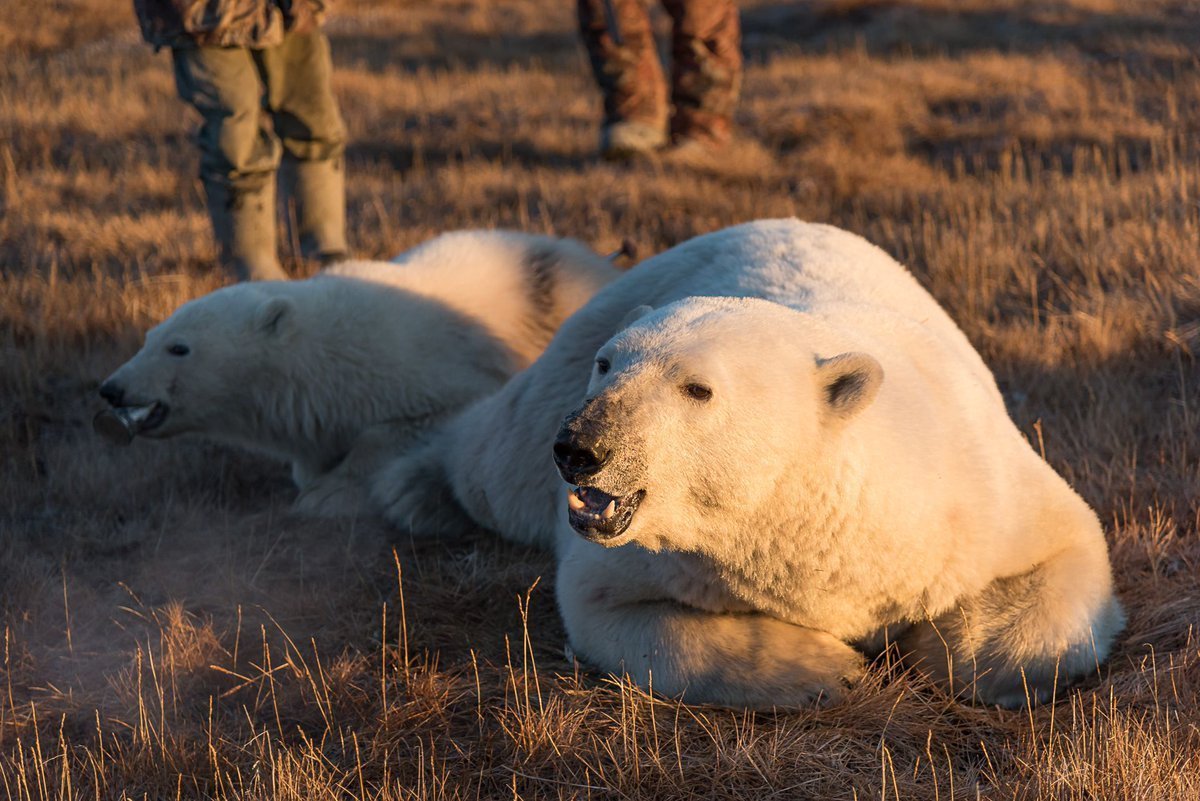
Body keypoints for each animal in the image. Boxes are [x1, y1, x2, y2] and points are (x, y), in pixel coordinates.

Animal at [96, 230, 620, 516]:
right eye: (149, 336)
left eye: (178, 347)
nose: (112, 389)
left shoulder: (430, 374)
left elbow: (403, 431)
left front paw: (326, 496)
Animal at [372, 219, 1124, 709]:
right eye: (610, 364)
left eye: (696, 388)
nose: (582, 447)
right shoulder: (660, 555)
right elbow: (615, 610)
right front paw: (832, 666)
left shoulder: (973, 493)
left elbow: (1066, 554)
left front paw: (943, 646)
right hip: (573, 345)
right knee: (499, 454)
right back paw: (413, 489)